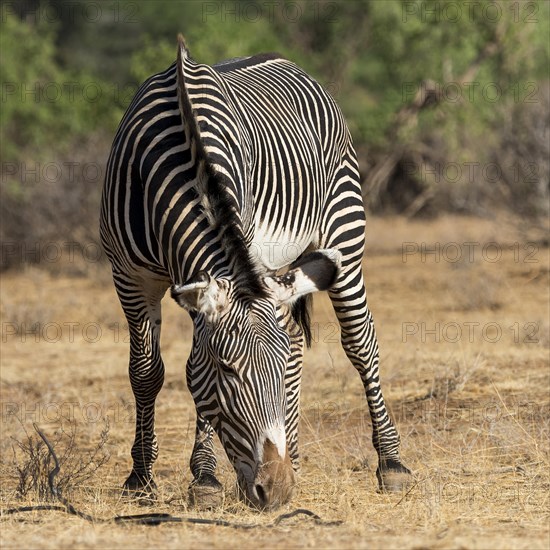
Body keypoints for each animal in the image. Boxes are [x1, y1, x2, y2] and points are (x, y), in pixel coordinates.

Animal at [99, 36, 412, 512]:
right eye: (227, 371)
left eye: (275, 374)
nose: (276, 489)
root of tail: (286, 61)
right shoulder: (129, 276)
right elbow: (146, 371)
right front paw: (140, 477)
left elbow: (192, 362)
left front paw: (204, 478)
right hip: (281, 268)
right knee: (296, 338)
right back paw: (296, 457)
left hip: (342, 233)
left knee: (360, 344)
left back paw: (390, 464)